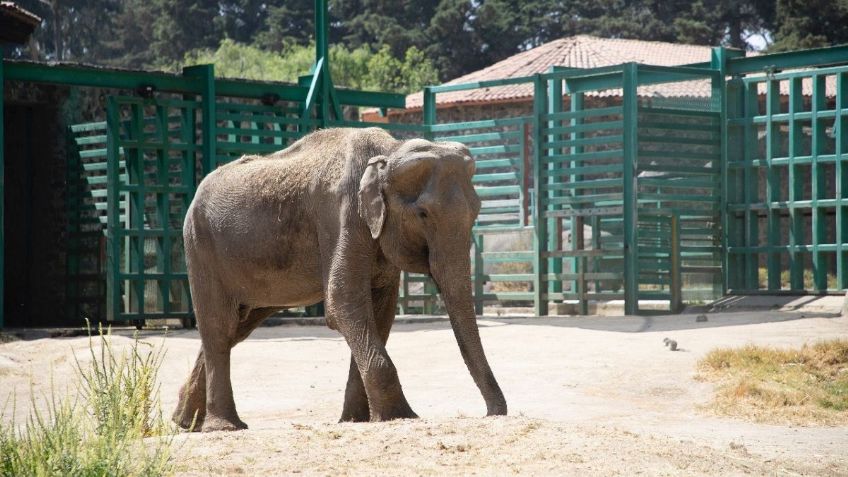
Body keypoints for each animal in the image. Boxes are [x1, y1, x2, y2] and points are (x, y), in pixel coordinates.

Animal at [169, 126, 506, 432]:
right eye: (423, 214)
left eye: (476, 211)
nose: (492, 413)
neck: (388, 152)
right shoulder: (341, 213)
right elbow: (343, 301)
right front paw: (402, 417)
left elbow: (379, 313)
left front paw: (356, 420)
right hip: (200, 246)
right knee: (219, 326)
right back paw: (224, 427)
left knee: (236, 328)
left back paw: (185, 422)